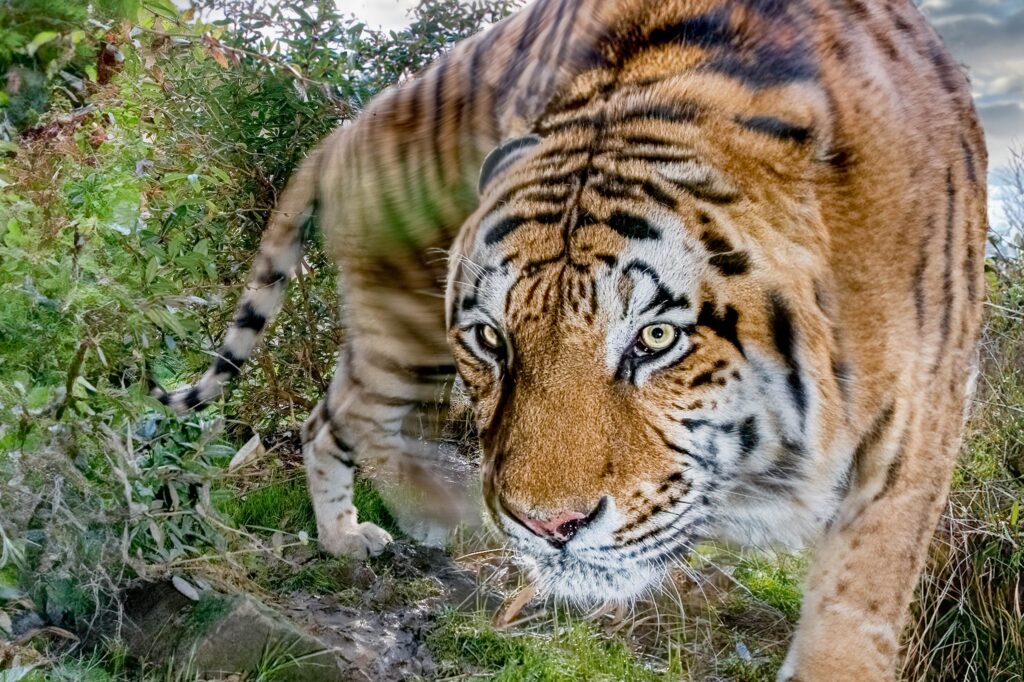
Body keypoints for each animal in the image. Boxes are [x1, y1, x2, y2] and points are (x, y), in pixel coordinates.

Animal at [157, 0, 988, 678]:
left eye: (656, 337)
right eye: (492, 338)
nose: (546, 527)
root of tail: (342, 132)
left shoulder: (921, 414)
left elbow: (860, 599)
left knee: (325, 417)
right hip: (405, 327)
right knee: (349, 423)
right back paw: (406, 521)